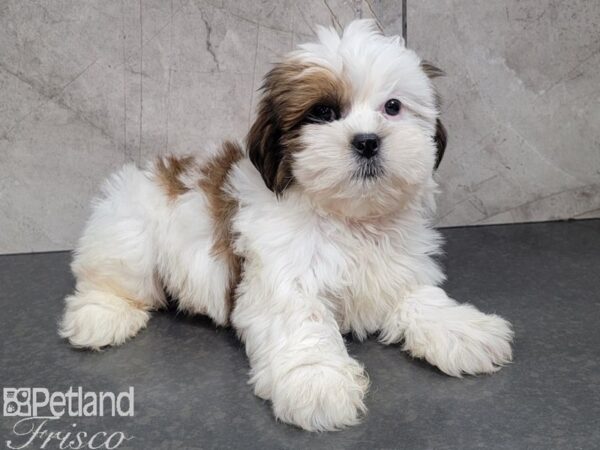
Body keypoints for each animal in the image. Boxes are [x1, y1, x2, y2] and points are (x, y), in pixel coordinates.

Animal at [59, 20, 510, 432]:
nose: (367, 141)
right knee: (110, 280)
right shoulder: (280, 278)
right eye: (324, 112)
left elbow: (421, 298)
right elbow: (301, 322)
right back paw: (101, 317)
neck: (347, 217)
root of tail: (141, 177)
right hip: (129, 234)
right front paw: (317, 381)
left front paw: (460, 329)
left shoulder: (397, 269)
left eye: (393, 107)